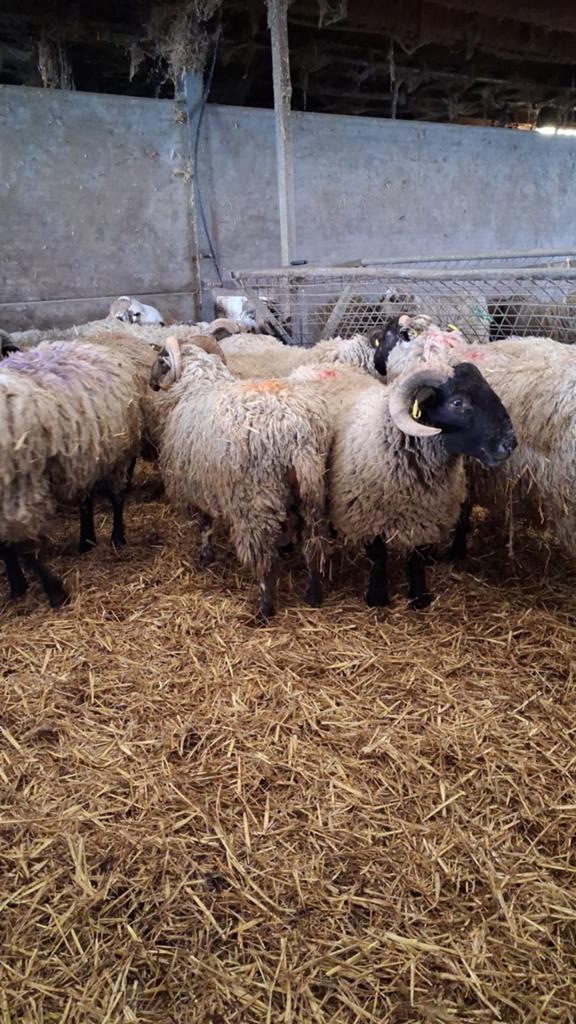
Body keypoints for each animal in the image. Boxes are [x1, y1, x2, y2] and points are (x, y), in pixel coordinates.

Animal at [0, 340, 144, 607]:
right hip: (84, 458)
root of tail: (87, 344)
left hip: (117, 454)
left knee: (117, 497)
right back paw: (86, 540)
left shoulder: (20, 489)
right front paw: (17, 585)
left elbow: (27, 548)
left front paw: (55, 592)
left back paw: (117, 538)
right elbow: (6, 546)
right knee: (86, 500)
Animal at [148, 336, 330, 621]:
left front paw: (204, 557)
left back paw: (264, 609)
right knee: (313, 546)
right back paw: (313, 595)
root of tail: (296, 435)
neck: (198, 383)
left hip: (254, 501)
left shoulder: (196, 484)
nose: (151, 383)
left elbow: (205, 526)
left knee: (267, 561)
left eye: (159, 360)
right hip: (311, 494)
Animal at [289, 347, 516, 608]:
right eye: (457, 402)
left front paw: (419, 597)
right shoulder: (366, 514)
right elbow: (378, 556)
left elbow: (416, 558)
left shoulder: (427, 515)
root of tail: (317, 366)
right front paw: (377, 597)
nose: (510, 443)